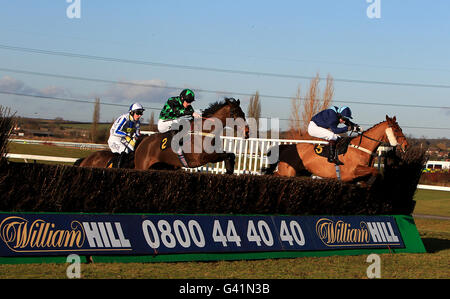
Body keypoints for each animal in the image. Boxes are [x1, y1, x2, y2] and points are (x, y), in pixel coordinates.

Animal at [262, 116, 410, 183]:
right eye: (396, 129)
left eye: (400, 128)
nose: (406, 145)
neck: (361, 148)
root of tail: (286, 147)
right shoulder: (352, 171)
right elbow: (376, 171)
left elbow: (374, 172)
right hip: (288, 172)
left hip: (298, 172)